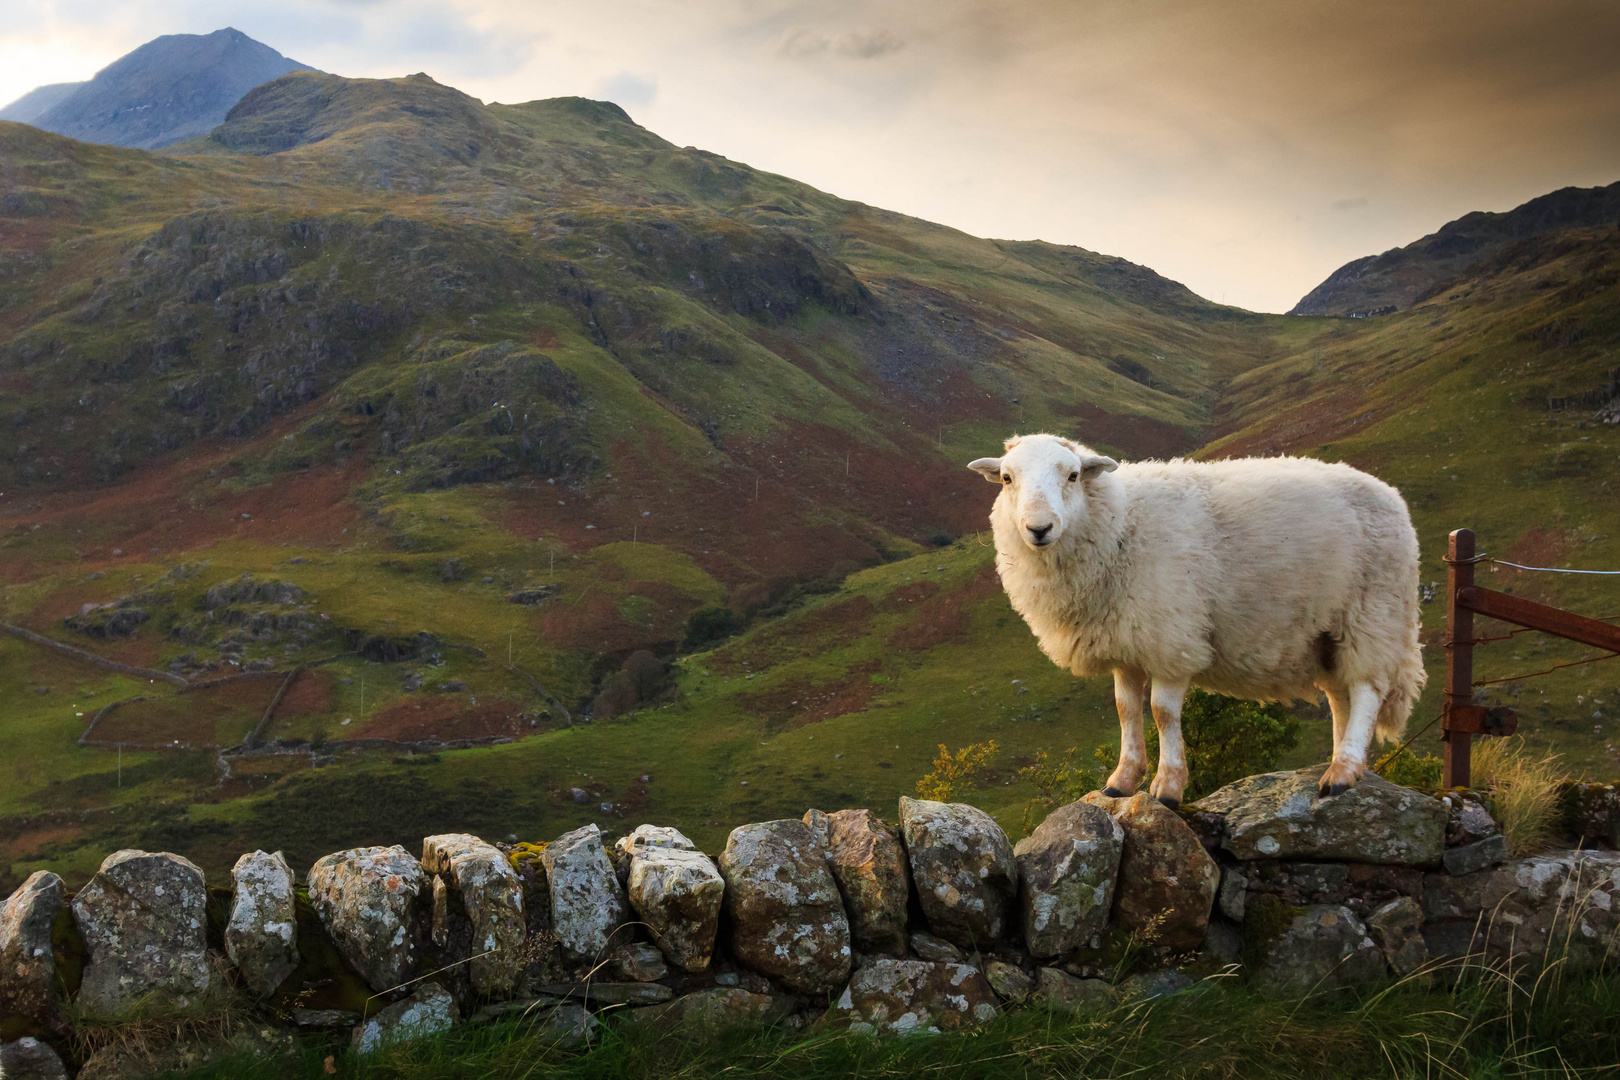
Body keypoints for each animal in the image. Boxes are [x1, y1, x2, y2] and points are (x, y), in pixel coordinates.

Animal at [965, 433, 1425, 806]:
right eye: (1006, 479)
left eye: (1074, 475)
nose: (1038, 528)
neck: (1122, 524)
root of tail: (1391, 495)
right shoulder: (1125, 642)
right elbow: (1126, 710)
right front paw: (1121, 781)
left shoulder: (1170, 635)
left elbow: (1162, 712)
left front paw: (1167, 787)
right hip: (1327, 633)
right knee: (1340, 696)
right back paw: (1339, 762)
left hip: (1373, 612)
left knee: (1366, 689)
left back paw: (1344, 771)